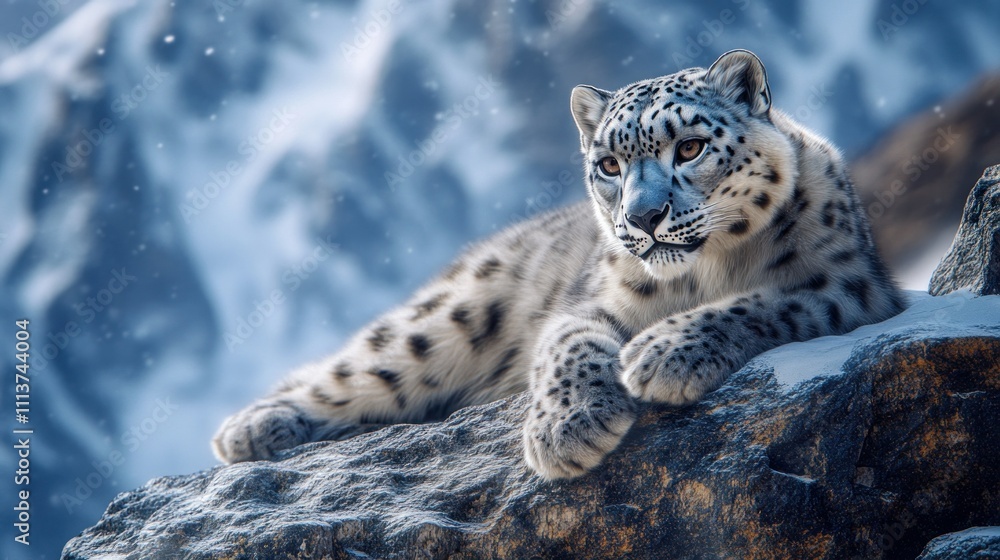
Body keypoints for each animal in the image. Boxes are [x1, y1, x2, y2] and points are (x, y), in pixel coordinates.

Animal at [212, 50, 905, 479]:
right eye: (609, 165)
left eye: (690, 147)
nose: (643, 217)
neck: (703, 272)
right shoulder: (592, 300)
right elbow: (567, 342)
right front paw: (567, 429)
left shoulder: (844, 286)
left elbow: (762, 300)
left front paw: (661, 355)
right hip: (444, 323)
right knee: (364, 365)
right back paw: (250, 427)